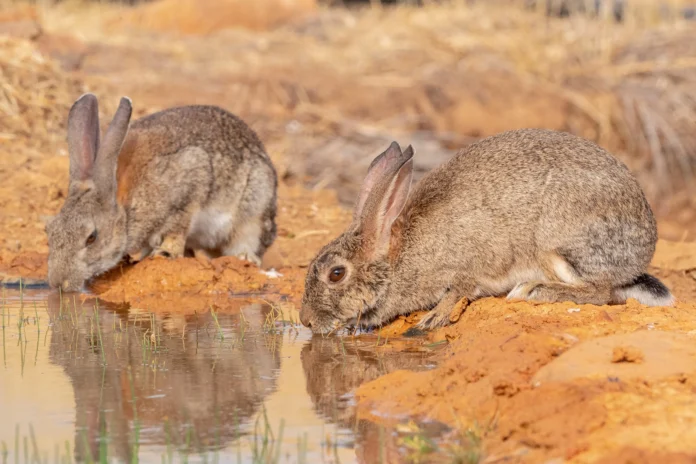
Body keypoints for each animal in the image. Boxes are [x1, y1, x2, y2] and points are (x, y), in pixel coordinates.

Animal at [46, 93, 278, 292]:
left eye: (91, 238)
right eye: (49, 231)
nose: (58, 283)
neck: (126, 207)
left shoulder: (190, 185)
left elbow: (177, 230)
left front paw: (165, 253)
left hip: (254, 209)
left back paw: (244, 258)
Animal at [299, 128, 675, 334]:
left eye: (336, 274)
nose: (305, 322)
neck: (399, 257)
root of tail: (643, 248)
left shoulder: (466, 264)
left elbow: (458, 290)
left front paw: (432, 318)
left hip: (557, 245)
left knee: (600, 292)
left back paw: (534, 290)